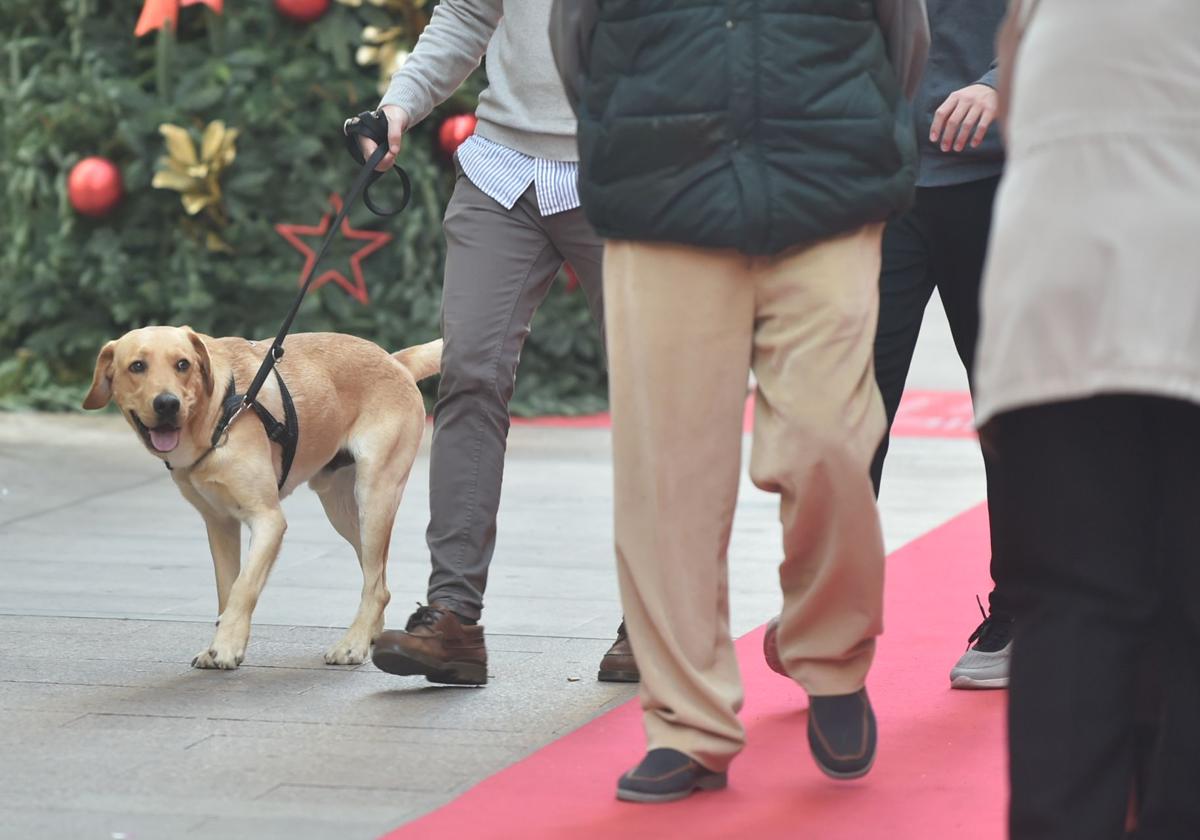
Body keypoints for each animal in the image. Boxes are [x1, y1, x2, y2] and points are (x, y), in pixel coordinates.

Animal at [84, 326, 441, 667]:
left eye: (182, 364)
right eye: (137, 366)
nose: (167, 404)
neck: (221, 414)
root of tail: (395, 360)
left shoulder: (268, 520)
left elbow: (244, 587)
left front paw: (227, 647)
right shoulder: (220, 524)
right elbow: (227, 589)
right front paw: (221, 643)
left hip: (374, 497)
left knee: (376, 587)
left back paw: (352, 645)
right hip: (343, 513)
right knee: (377, 578)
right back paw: (368, 635)